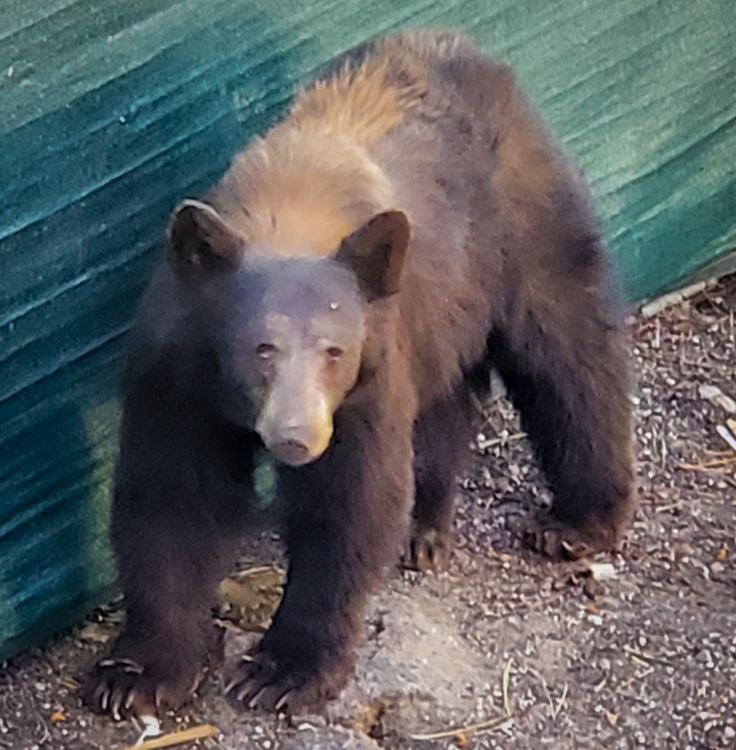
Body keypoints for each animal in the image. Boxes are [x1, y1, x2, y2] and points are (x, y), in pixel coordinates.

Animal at [81, 29, 634, 718]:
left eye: (334, 351)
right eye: (262, 348)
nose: (297, 437)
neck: (287, 209)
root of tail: (464, 47)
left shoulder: (367, 380)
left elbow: (350, 502)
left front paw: (283, 670)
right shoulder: (175, 372)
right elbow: (173, 495)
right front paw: (138, 672)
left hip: (528, 227)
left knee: (571, 359)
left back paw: (577, 522)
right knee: (447, 403)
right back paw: (426, 528)